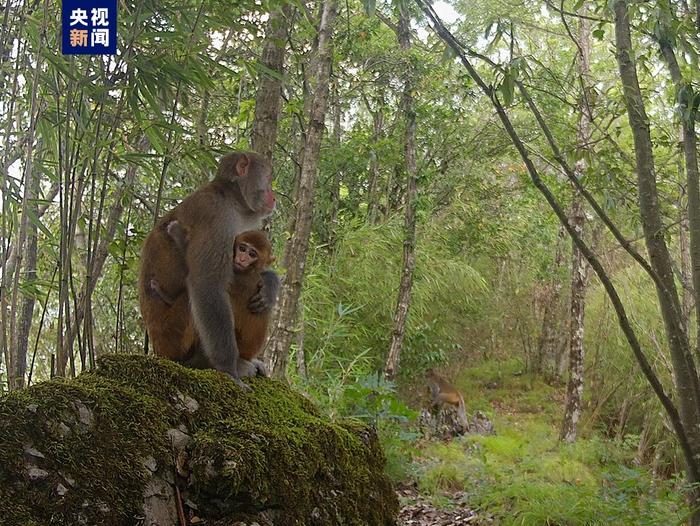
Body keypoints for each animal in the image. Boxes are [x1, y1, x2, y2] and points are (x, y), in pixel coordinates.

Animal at [138, 151, 278, 390]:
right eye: (268, 178)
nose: (273, 195)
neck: (232, 199)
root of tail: (159, 350)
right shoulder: (217, 216)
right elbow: (208, 284)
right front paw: (229, 370)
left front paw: (271, 283)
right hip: (174, 336)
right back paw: (212, 362)